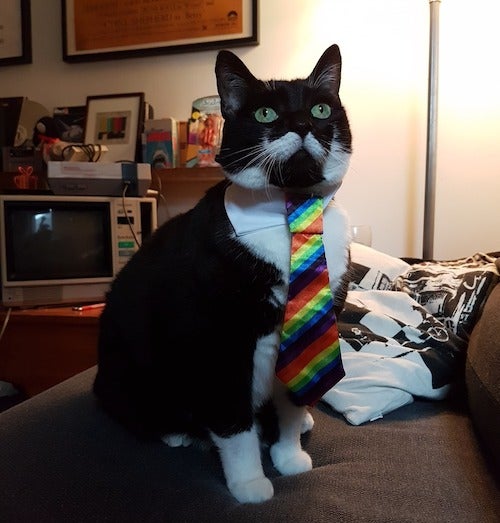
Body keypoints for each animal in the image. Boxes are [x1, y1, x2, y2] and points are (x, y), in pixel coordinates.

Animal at [94, 44, 352, 504]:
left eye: (321, 109)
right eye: (266, 114)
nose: (303, 124)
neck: (290, 209)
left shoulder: (311, 324)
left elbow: (292, 401)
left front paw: (289, 455)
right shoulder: (217, 341)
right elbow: (234, 424)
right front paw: (249, 483)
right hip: (131, 373)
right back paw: (179, 433)